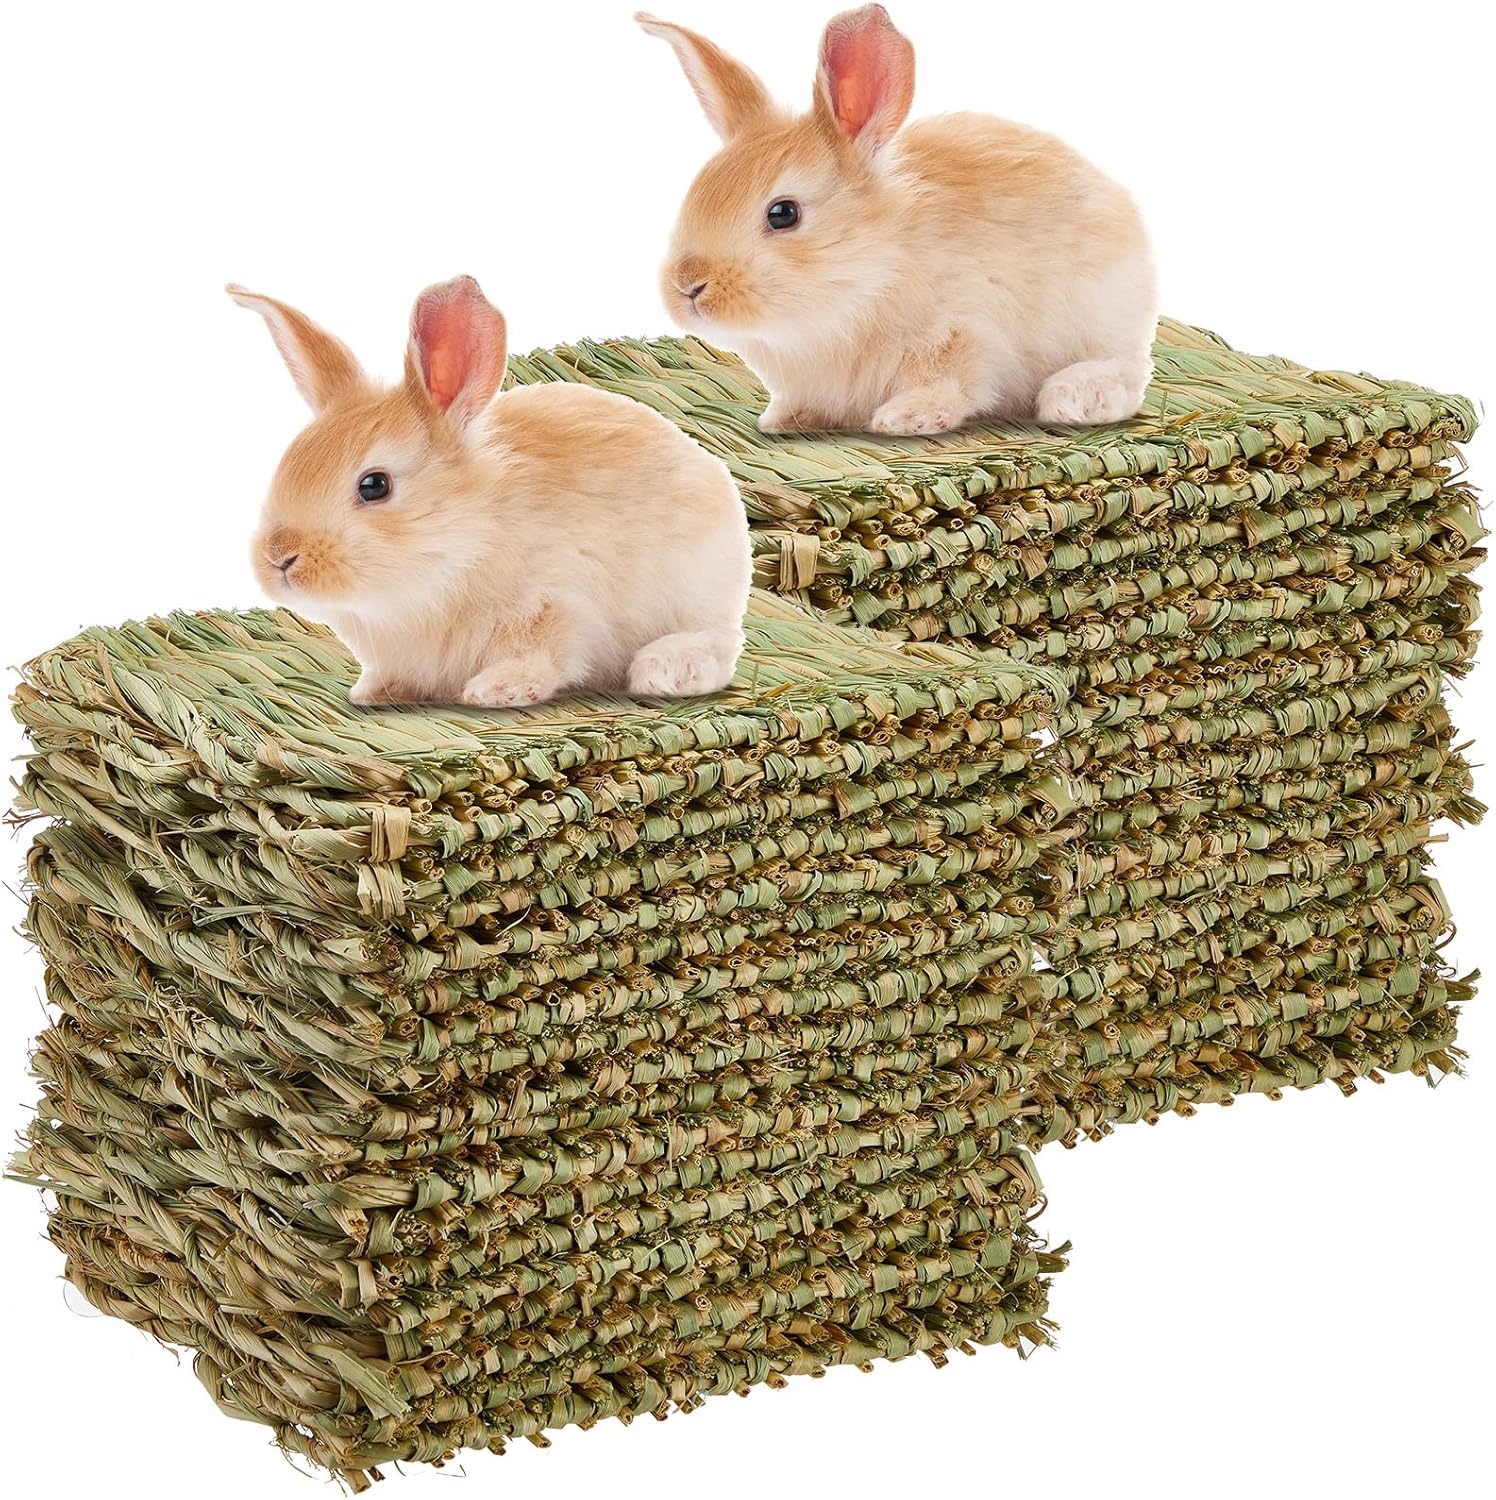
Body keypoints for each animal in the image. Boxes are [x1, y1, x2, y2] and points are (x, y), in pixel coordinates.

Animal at [229, 275, 752, 707]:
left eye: (374, 486)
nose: (280, 558)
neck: (462, 543)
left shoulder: (553, 603)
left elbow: (544, 650)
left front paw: (498, 690)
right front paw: (375, 691)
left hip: (699, 586)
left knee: (717, 643)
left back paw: (665, 670)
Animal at [638, 4, 1158, 435]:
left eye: (783, 214)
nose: (688, 285)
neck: (870, 272)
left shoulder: (964, 329)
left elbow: (951, 377)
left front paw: (906, 418)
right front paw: (782, 419)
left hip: (1107, 312)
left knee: (1126, 372)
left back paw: (1073, 398)